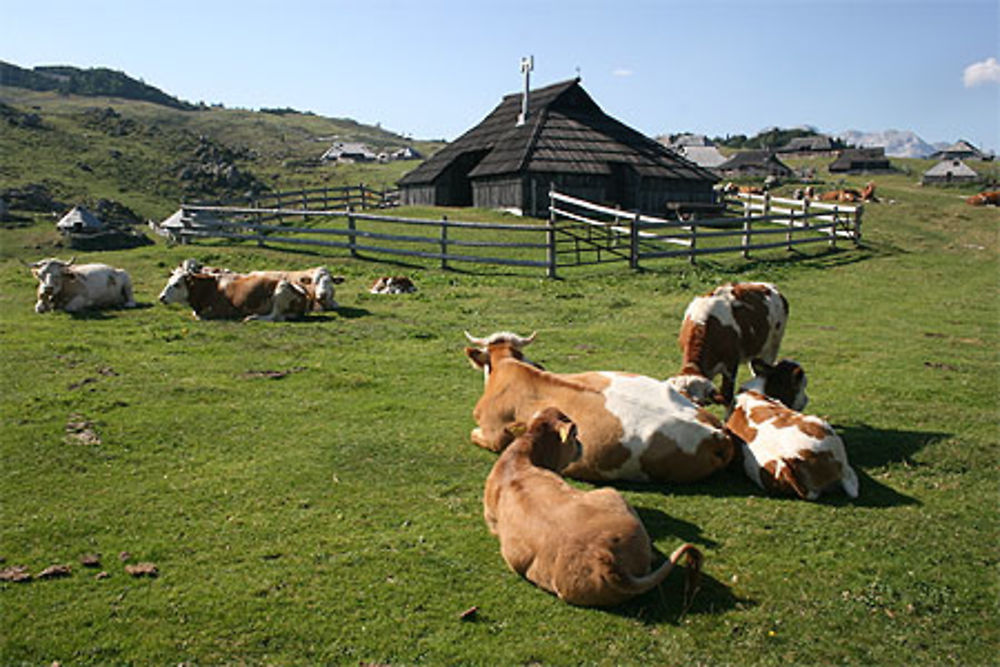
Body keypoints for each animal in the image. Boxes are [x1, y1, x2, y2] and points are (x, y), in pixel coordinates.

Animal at [157, 270, 308, 324]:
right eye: (168, 282)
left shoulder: (214, 311)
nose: (161, 297)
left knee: (275, 316)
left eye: (176, 284)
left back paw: (252, 317)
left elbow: (199, 316)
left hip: (280, 289)